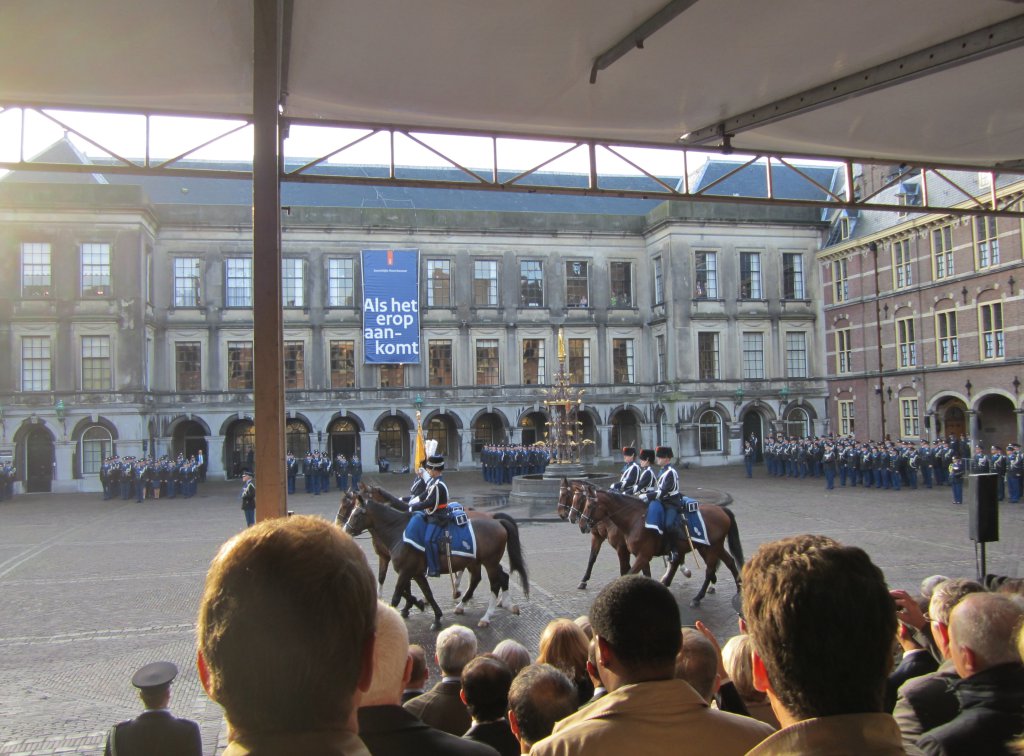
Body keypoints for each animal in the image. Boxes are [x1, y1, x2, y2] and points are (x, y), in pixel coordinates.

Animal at [342, 493, 529, 630]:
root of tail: (496, 520)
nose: (344, 530)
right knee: (485, 578)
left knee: (495, 584)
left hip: (489, 562)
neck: (399, 531)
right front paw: (435, 616)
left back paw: (486, 616)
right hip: (477, 562)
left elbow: (397, 596)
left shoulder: (405, 571)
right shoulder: (415, 572)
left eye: (356, 514)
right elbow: (426, 593)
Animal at [577, 483, 743, 607]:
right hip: (710, 547)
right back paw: (739, 589)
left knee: (709, 570)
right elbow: (644, 575)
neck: (634, 520)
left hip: (711, 548)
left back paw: (698, 597)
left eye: (589, 505)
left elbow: (628, 573)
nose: (582, 525)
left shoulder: (640, 555)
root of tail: (721, 509)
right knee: (729, 561)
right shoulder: (640, 555)